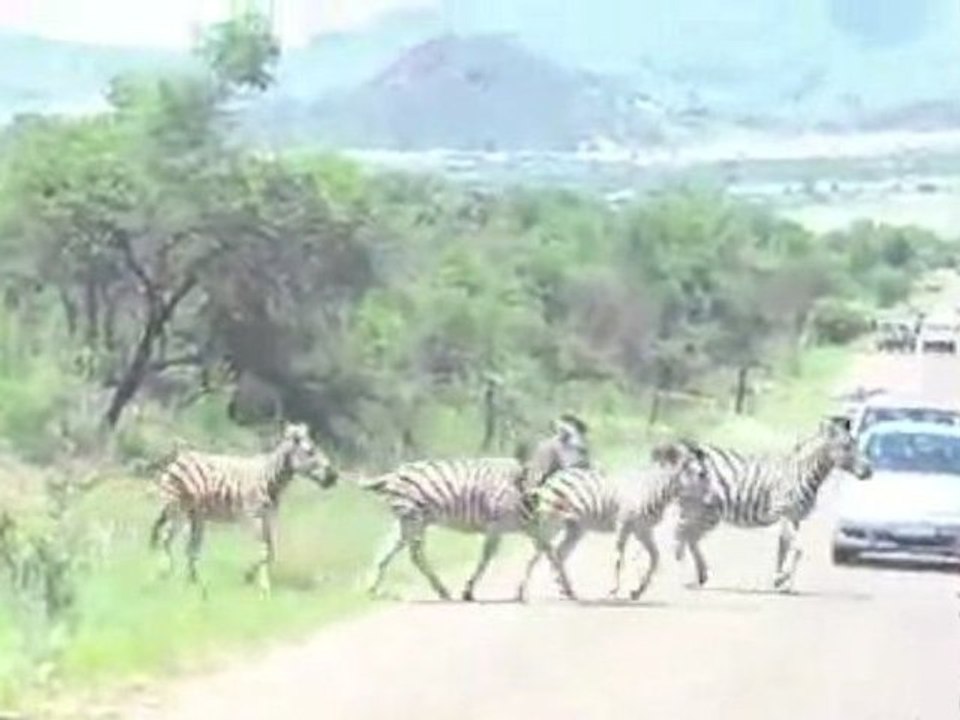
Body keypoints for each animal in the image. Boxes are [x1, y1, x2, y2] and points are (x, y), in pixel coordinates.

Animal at [149, 422, 338, 594]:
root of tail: (178, 458)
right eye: (310, 452)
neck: (271, 479)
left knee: (190, 547)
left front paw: (251, 577)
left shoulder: (270, 516)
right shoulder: (252, 516)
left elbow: (272, 550)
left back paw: (193, 582)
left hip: (196, 516)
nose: (333, 477)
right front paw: (262, 586)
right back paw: (166, 574)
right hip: (177, 509)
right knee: (167, 539)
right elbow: (263, 550)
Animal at [361, 414, 590, 602]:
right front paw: (468, 591)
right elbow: (485, 559)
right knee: (415, 555)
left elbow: (551, 554)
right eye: (582, 450)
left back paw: (371, 590)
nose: (592, 470)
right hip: (413, 518)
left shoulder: (532, 528)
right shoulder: (495, 527)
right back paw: (442, 591)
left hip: (407, 521)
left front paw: (567, 589)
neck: (526, 483)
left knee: (386, 550)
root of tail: (392, 474)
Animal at [517, 441, 709, 600]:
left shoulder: (643, 530)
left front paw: (637, 591)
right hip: (553, 520)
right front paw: (613, 590)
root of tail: (554, 477)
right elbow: (618, 559)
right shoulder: (623, 524)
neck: (652, 491)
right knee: (538, 551)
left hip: (575, 528)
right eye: (700, 474)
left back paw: (567, 590)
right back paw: (522, 592)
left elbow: (655, 558)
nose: (709, 498)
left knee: (557, 553)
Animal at [674, 416, 872, 592]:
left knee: (690, 537)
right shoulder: (785, 512)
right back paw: (684, 575)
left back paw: (700, 575)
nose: (869, 471)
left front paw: (779, 580)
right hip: (699, 508)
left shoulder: (794, 518)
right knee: (682, 536)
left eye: (856, 445)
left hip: (708, 511)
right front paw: (782, 579)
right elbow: (796, 549)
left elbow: (783, 549)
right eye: (846, 447)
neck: (804, 471)